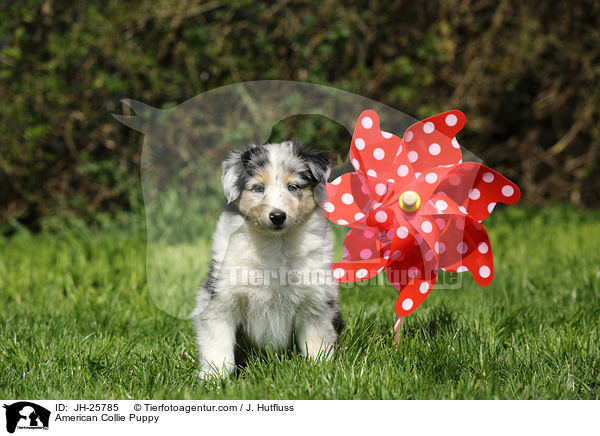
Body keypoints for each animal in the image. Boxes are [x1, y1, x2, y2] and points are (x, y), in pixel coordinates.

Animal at [192, 139, 342, 378]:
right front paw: (214, 378)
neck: (275, 244)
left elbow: (317, 342)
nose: (277, 216)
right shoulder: (221, 298)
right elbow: (218, 345)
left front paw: (320, 374)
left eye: (293, 187)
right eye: (258, 188)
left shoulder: (315, 300)